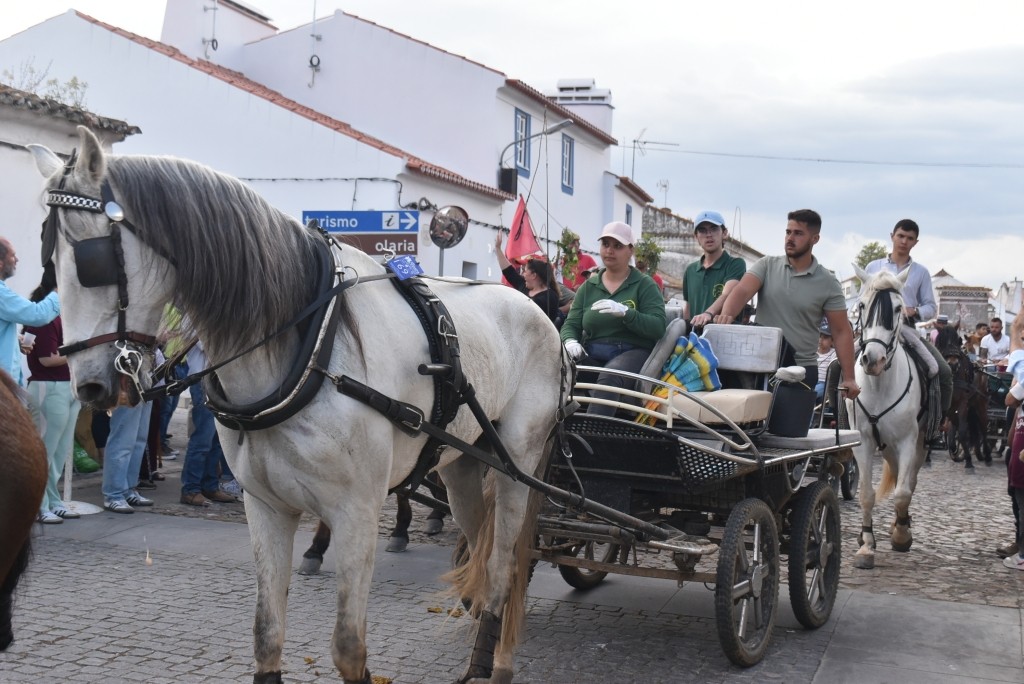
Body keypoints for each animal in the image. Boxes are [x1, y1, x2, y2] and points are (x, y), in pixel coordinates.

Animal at [30, 126, 565, 683]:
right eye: (48, 264)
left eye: (91, 261)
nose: (90, 388)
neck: (311, 350)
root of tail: (536, 312)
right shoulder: (266, 506)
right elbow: (266, 634)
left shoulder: (357, 512)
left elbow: (349, 647)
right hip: (460, 461)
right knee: (480, 547)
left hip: (516, 464)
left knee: (504, 563)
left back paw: (494, 661)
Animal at [848, 266, 930, 570]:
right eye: (861, 305)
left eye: (897, 308)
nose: (873, 360)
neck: (880, 384)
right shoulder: (863, 442)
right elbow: (866, 494)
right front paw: (866, 545)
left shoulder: (908, 440)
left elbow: (903, 493)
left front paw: (902, 536)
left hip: (918, 444)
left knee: (909, 482)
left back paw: (900, 526)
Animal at [934, 325, 991, 469]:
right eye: (941, 341)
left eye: (958, 341)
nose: (953, 364)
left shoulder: (963, 403)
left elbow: (963, 431)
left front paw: (969, 461)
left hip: (980, 403)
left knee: (983, 427)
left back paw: (987, 455)